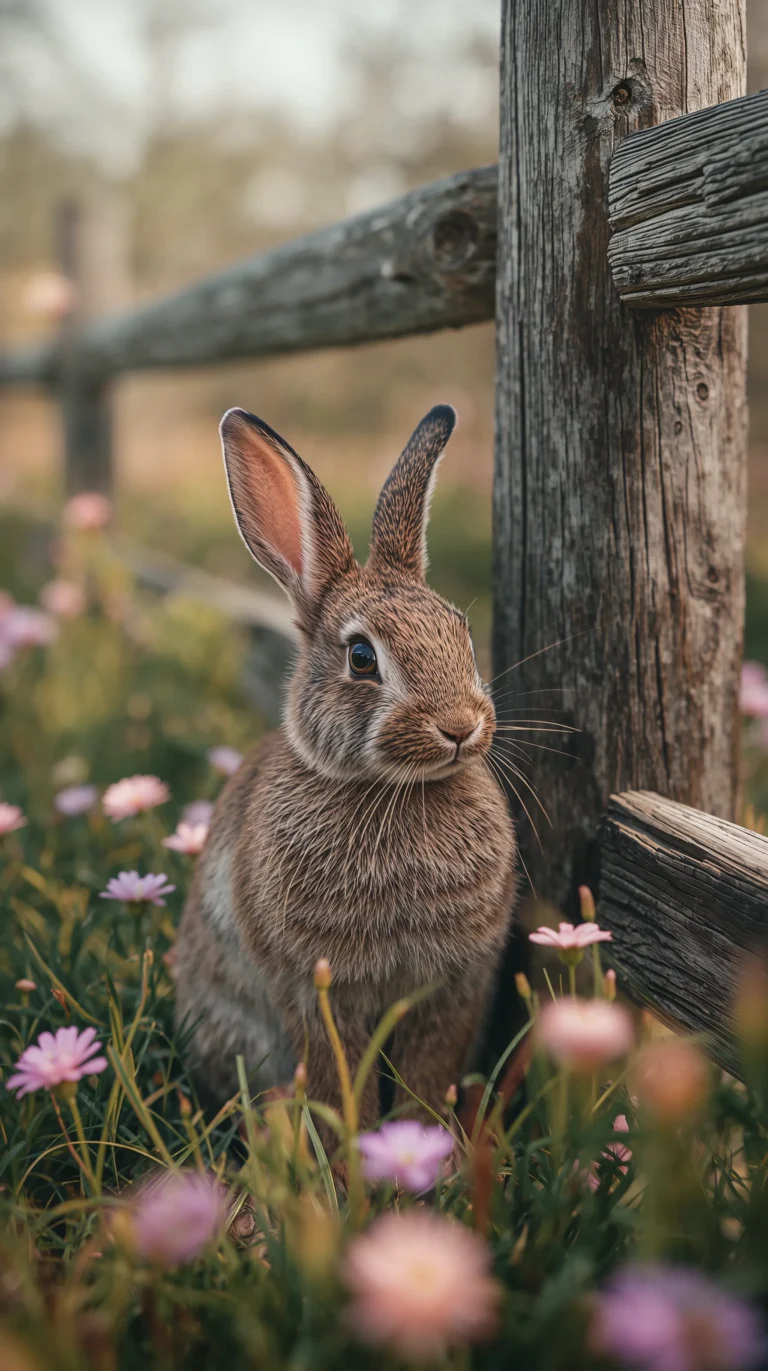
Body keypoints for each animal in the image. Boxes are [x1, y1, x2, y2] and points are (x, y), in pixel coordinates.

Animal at [174, 404, 517, 1128]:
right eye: (362, 658)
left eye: (463, 635)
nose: (460, 727)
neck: (395, 789)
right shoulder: (312, 990)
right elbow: (338, 1080)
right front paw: (349, 1150)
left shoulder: (455, 987)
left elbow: (427, 1074)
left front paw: (428, 1143)